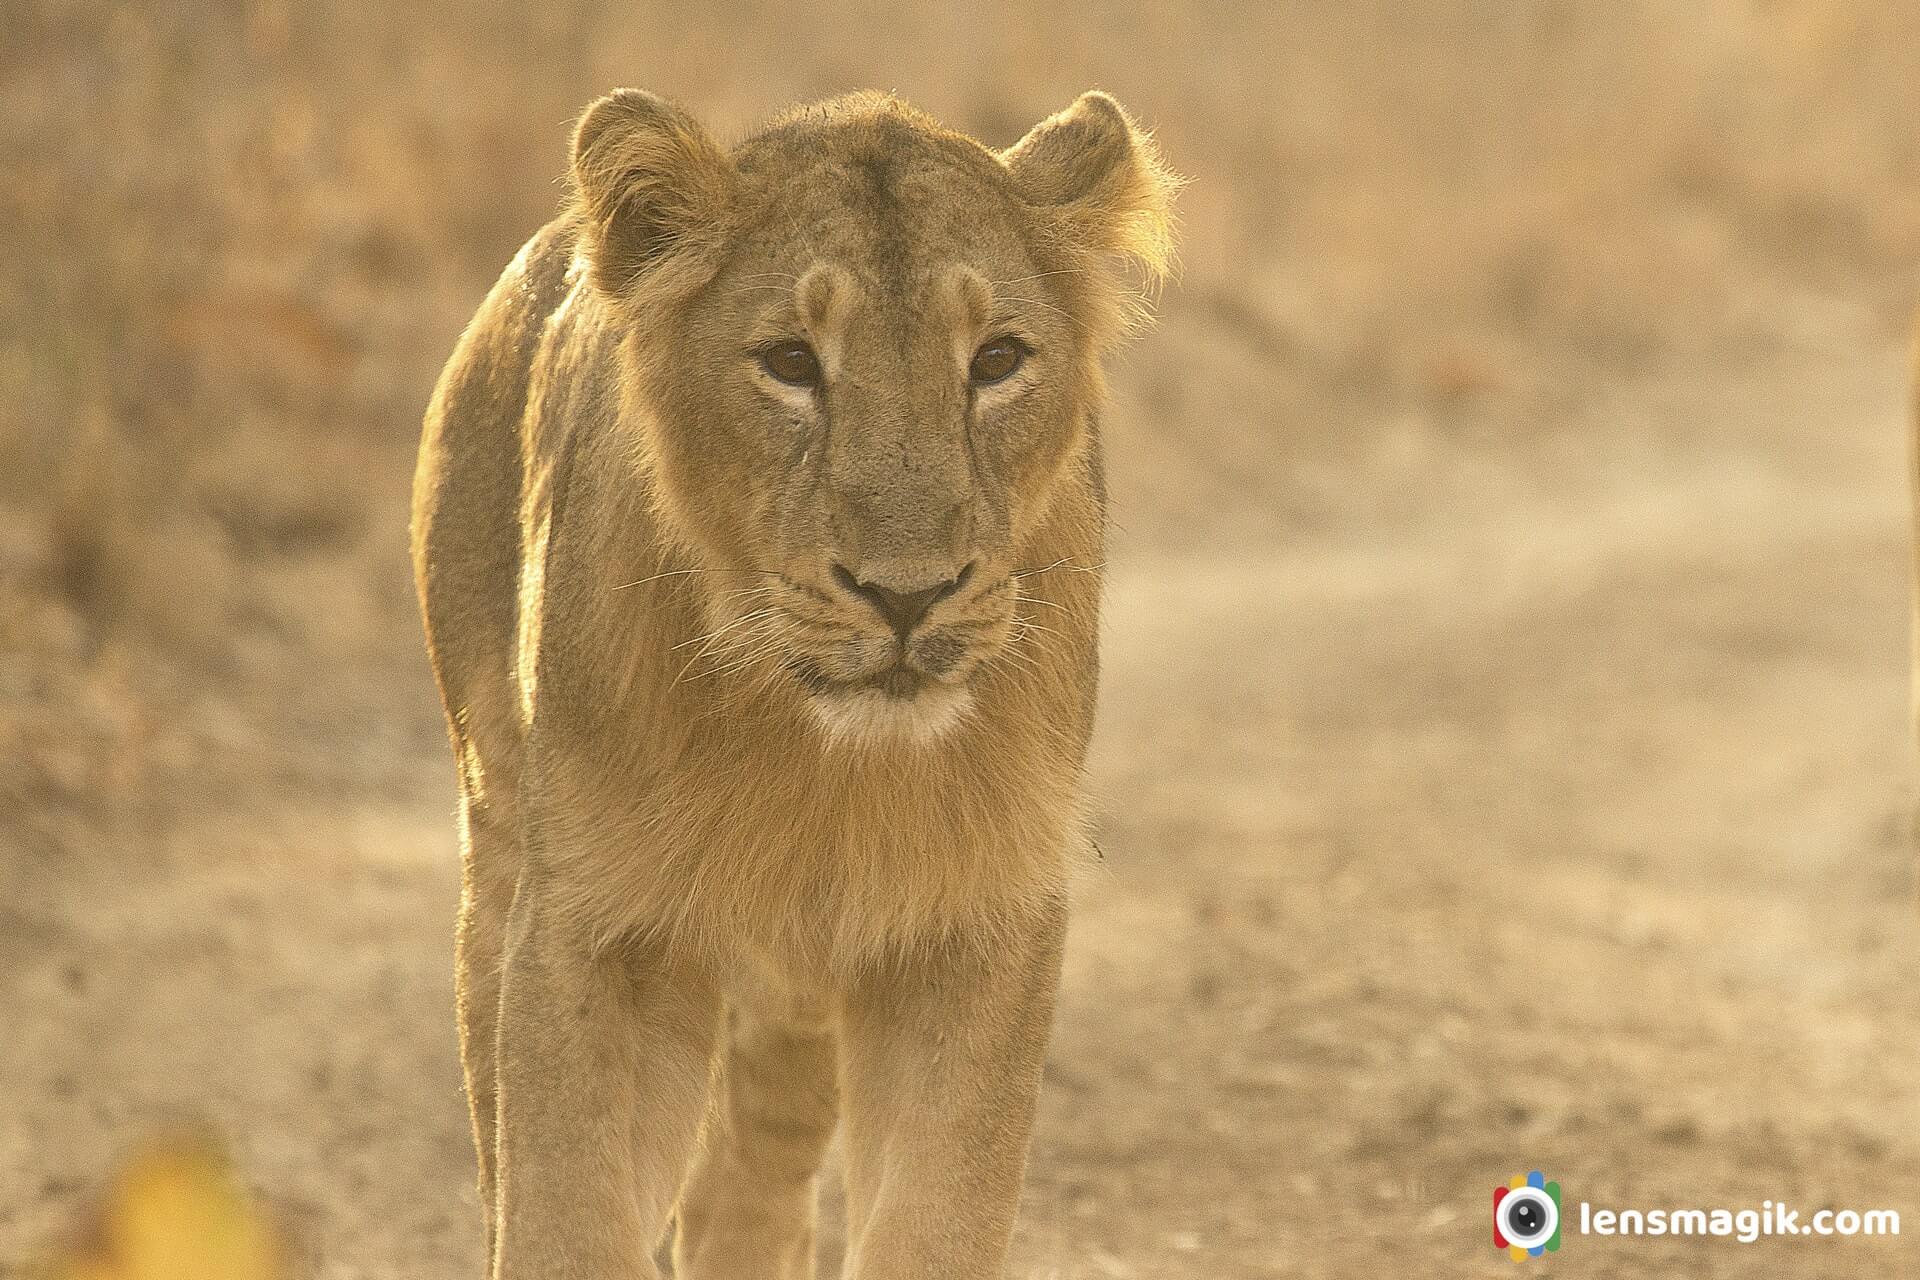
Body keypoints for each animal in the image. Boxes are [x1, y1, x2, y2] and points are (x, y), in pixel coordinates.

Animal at [412, 92, 1175, 1280]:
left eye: (998, 359)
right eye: (788, 361)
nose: (907, 595)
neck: (815, 758)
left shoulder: (976, 920)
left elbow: (938, 1219)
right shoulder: (596, 926)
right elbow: (565, 1212)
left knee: (746, 1184)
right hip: (495, 835)